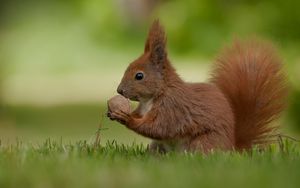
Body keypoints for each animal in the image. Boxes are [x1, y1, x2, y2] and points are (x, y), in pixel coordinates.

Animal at [108, 20, 288, 153]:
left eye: (139, 76)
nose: (119, 90)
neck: (152, 98)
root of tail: (232, 148)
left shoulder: (173, 108)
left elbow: (158, 128)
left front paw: (127, 119)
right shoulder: (145, 108)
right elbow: (142, 118)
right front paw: (115, 113)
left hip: (202, 143)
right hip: (158, 146)